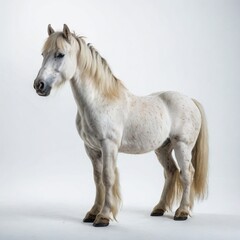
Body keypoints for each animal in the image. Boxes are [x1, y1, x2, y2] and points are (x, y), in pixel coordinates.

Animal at [33, 24, 208, 227]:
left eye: (60, 54)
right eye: (43, 54)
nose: (39, 85)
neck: (99, 100)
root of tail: (190, 100)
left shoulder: (109, 145)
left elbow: (108, 177)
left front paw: (103, 216)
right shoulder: (92, 149)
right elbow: (97, 179)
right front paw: (92, 213)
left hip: (182, 146)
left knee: (187, 174)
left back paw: (182, 211)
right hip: (163, 148)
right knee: (171, 172)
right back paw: (159, 209)